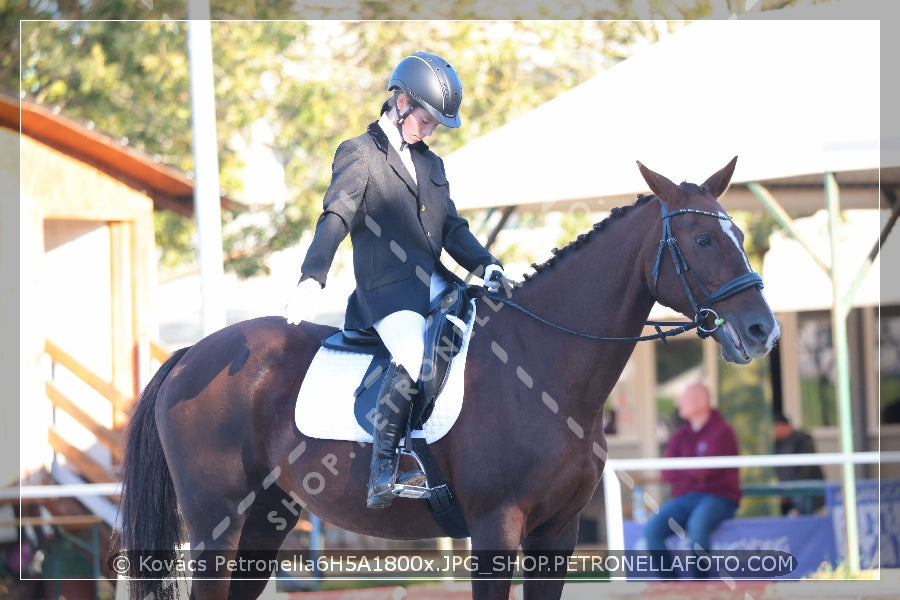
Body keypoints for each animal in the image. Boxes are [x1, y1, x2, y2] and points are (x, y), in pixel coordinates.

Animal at [118, 158, 780, 600]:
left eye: (741, 236)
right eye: (702, 239)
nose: (762, 332)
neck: (545, 368)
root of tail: (191, 355)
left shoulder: (557, 536)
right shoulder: (496, 530)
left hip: (264, 524)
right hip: (217, 526)